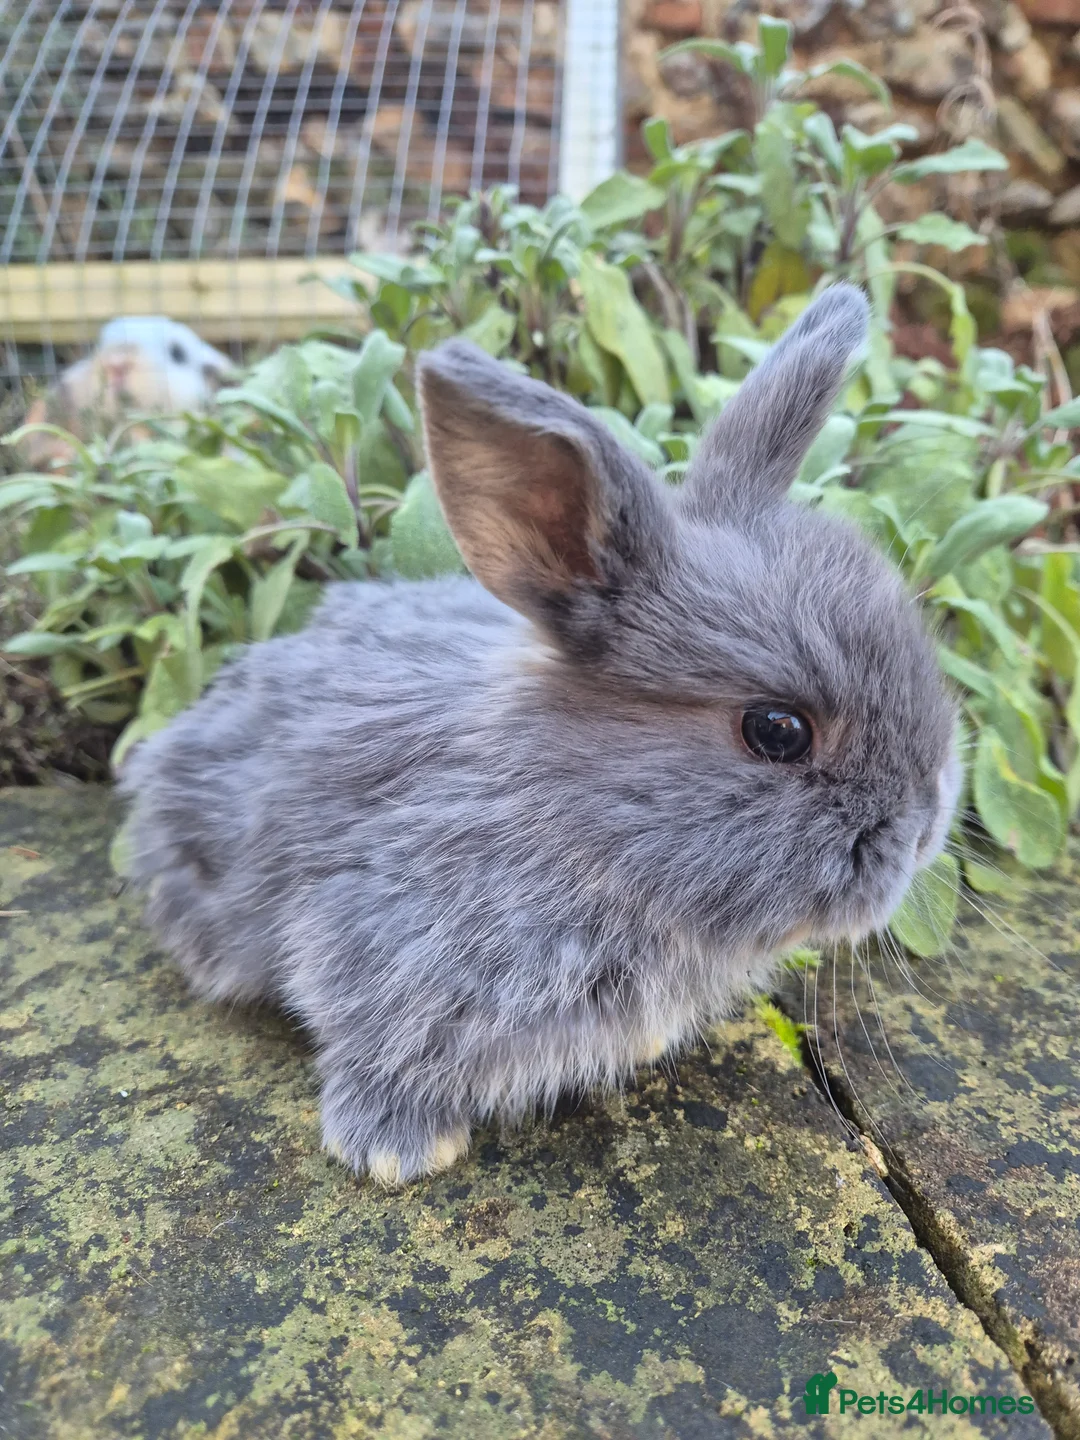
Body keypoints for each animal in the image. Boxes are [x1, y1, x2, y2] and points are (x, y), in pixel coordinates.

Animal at [119, 284, 961, 1186]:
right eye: (777, 731)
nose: (922, 836)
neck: (574, 820)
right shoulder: (371, 940)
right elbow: (372, 1048)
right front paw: (394, 1151)